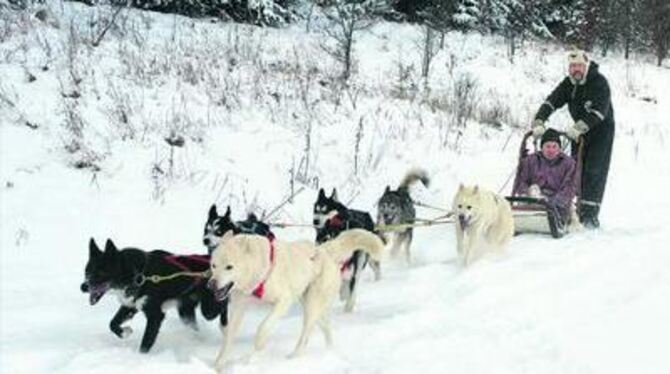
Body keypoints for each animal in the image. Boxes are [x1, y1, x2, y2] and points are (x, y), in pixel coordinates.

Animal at [80, 238, 223, 352]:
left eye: (101, 272)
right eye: (87, 271)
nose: (83, 287)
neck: (138, 275)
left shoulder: (155, 315)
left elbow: (146, 341)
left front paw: (141, 357)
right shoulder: (130, 306)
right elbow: (112, 323)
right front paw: (124, 332)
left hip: (209, 309)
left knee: (220, 309)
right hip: (185, 312)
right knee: (193, 326)